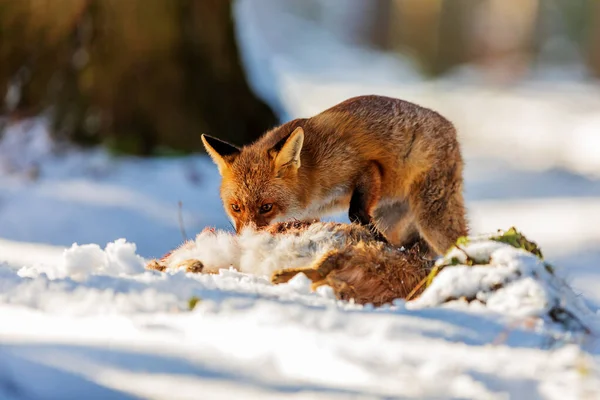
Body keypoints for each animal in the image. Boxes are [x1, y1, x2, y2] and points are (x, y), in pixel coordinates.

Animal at [202, 95, 468, 255]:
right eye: (236, 207)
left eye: (266, 207)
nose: (245, 241)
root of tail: (451, 128)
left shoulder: (365, 167)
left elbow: (355, 212)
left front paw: (377, 241)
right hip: (396, 218)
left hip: (432, 219)